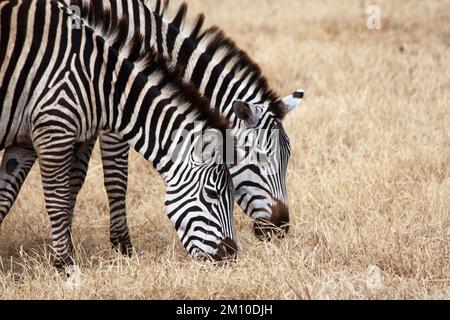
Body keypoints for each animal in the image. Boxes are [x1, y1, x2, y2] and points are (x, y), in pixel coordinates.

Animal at [0, 0, 304, 255]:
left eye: (287, 158)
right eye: (257, 158)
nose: (281, 227)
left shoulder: (83, 121)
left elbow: (73, 181)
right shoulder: (109, 114)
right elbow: (115, 179)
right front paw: (121, 247)